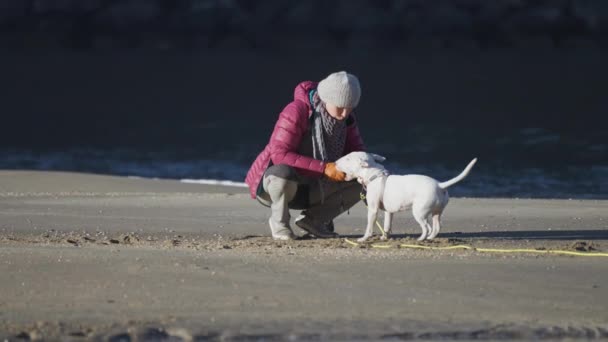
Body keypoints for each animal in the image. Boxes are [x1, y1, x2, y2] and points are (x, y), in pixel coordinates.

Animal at [334, 152, 478, 243]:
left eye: (347, 159)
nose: (335, 162)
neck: (374, 175)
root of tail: (439, 185)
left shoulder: (373, 210)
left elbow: (369, 227)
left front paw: (363, 239)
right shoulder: (389, 211)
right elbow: (387, 225)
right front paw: (384, 238)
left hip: (419, 212)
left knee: (427, 227)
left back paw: (421, 239)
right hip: (436, 212)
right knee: (436, 227)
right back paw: (430, 238)